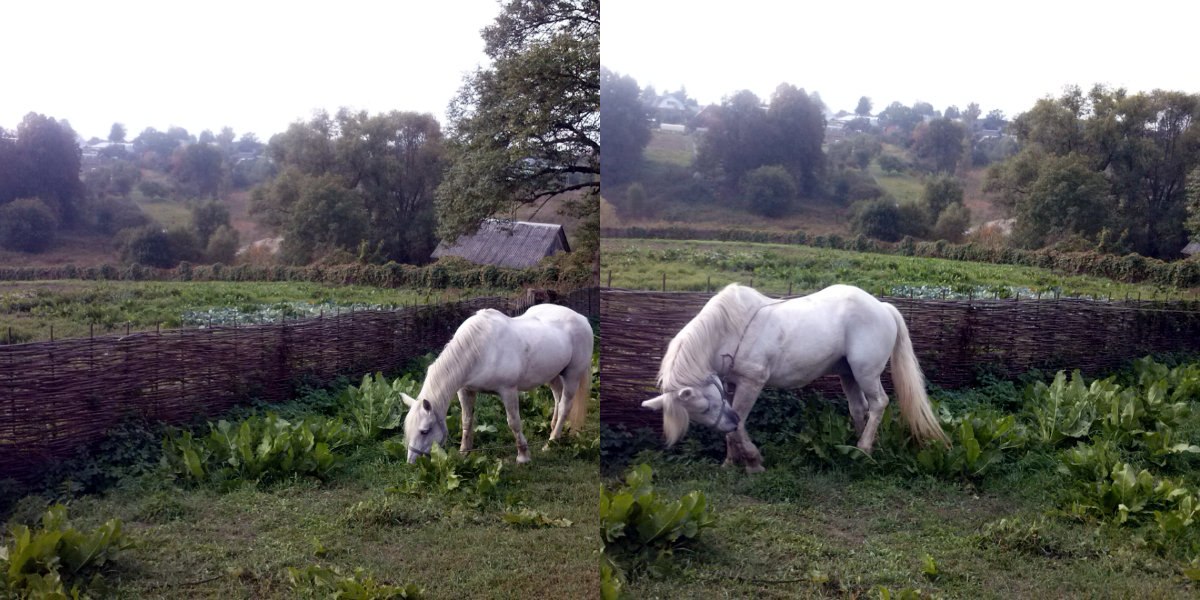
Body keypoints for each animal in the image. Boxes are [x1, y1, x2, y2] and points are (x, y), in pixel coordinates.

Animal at [400, 304, 592, 463]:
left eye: (424, 431)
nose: (411, 462)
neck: (481, 349)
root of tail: (582, 318)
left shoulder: (508, 391)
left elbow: (514, 422)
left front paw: (523, 456)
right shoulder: (465, 390)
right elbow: (467, 421)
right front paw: (464, 453)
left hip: (572, 376)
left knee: (565, 406)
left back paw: (551, 442)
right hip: (553, 375)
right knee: (558, 399)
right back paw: (552, 430)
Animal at [643, 283, 940, 470]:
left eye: (704, 407)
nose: (727, 421)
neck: (727, 329)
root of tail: (883, 307)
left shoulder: (752, 382)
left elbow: (740, 426)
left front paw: (753, 462)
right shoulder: (729, 383)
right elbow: (735, 428)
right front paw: (730, 461)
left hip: (865, 372)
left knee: (878, 404)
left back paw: (865, 448)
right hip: (848, 374)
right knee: (860, 408)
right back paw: (857, 448)